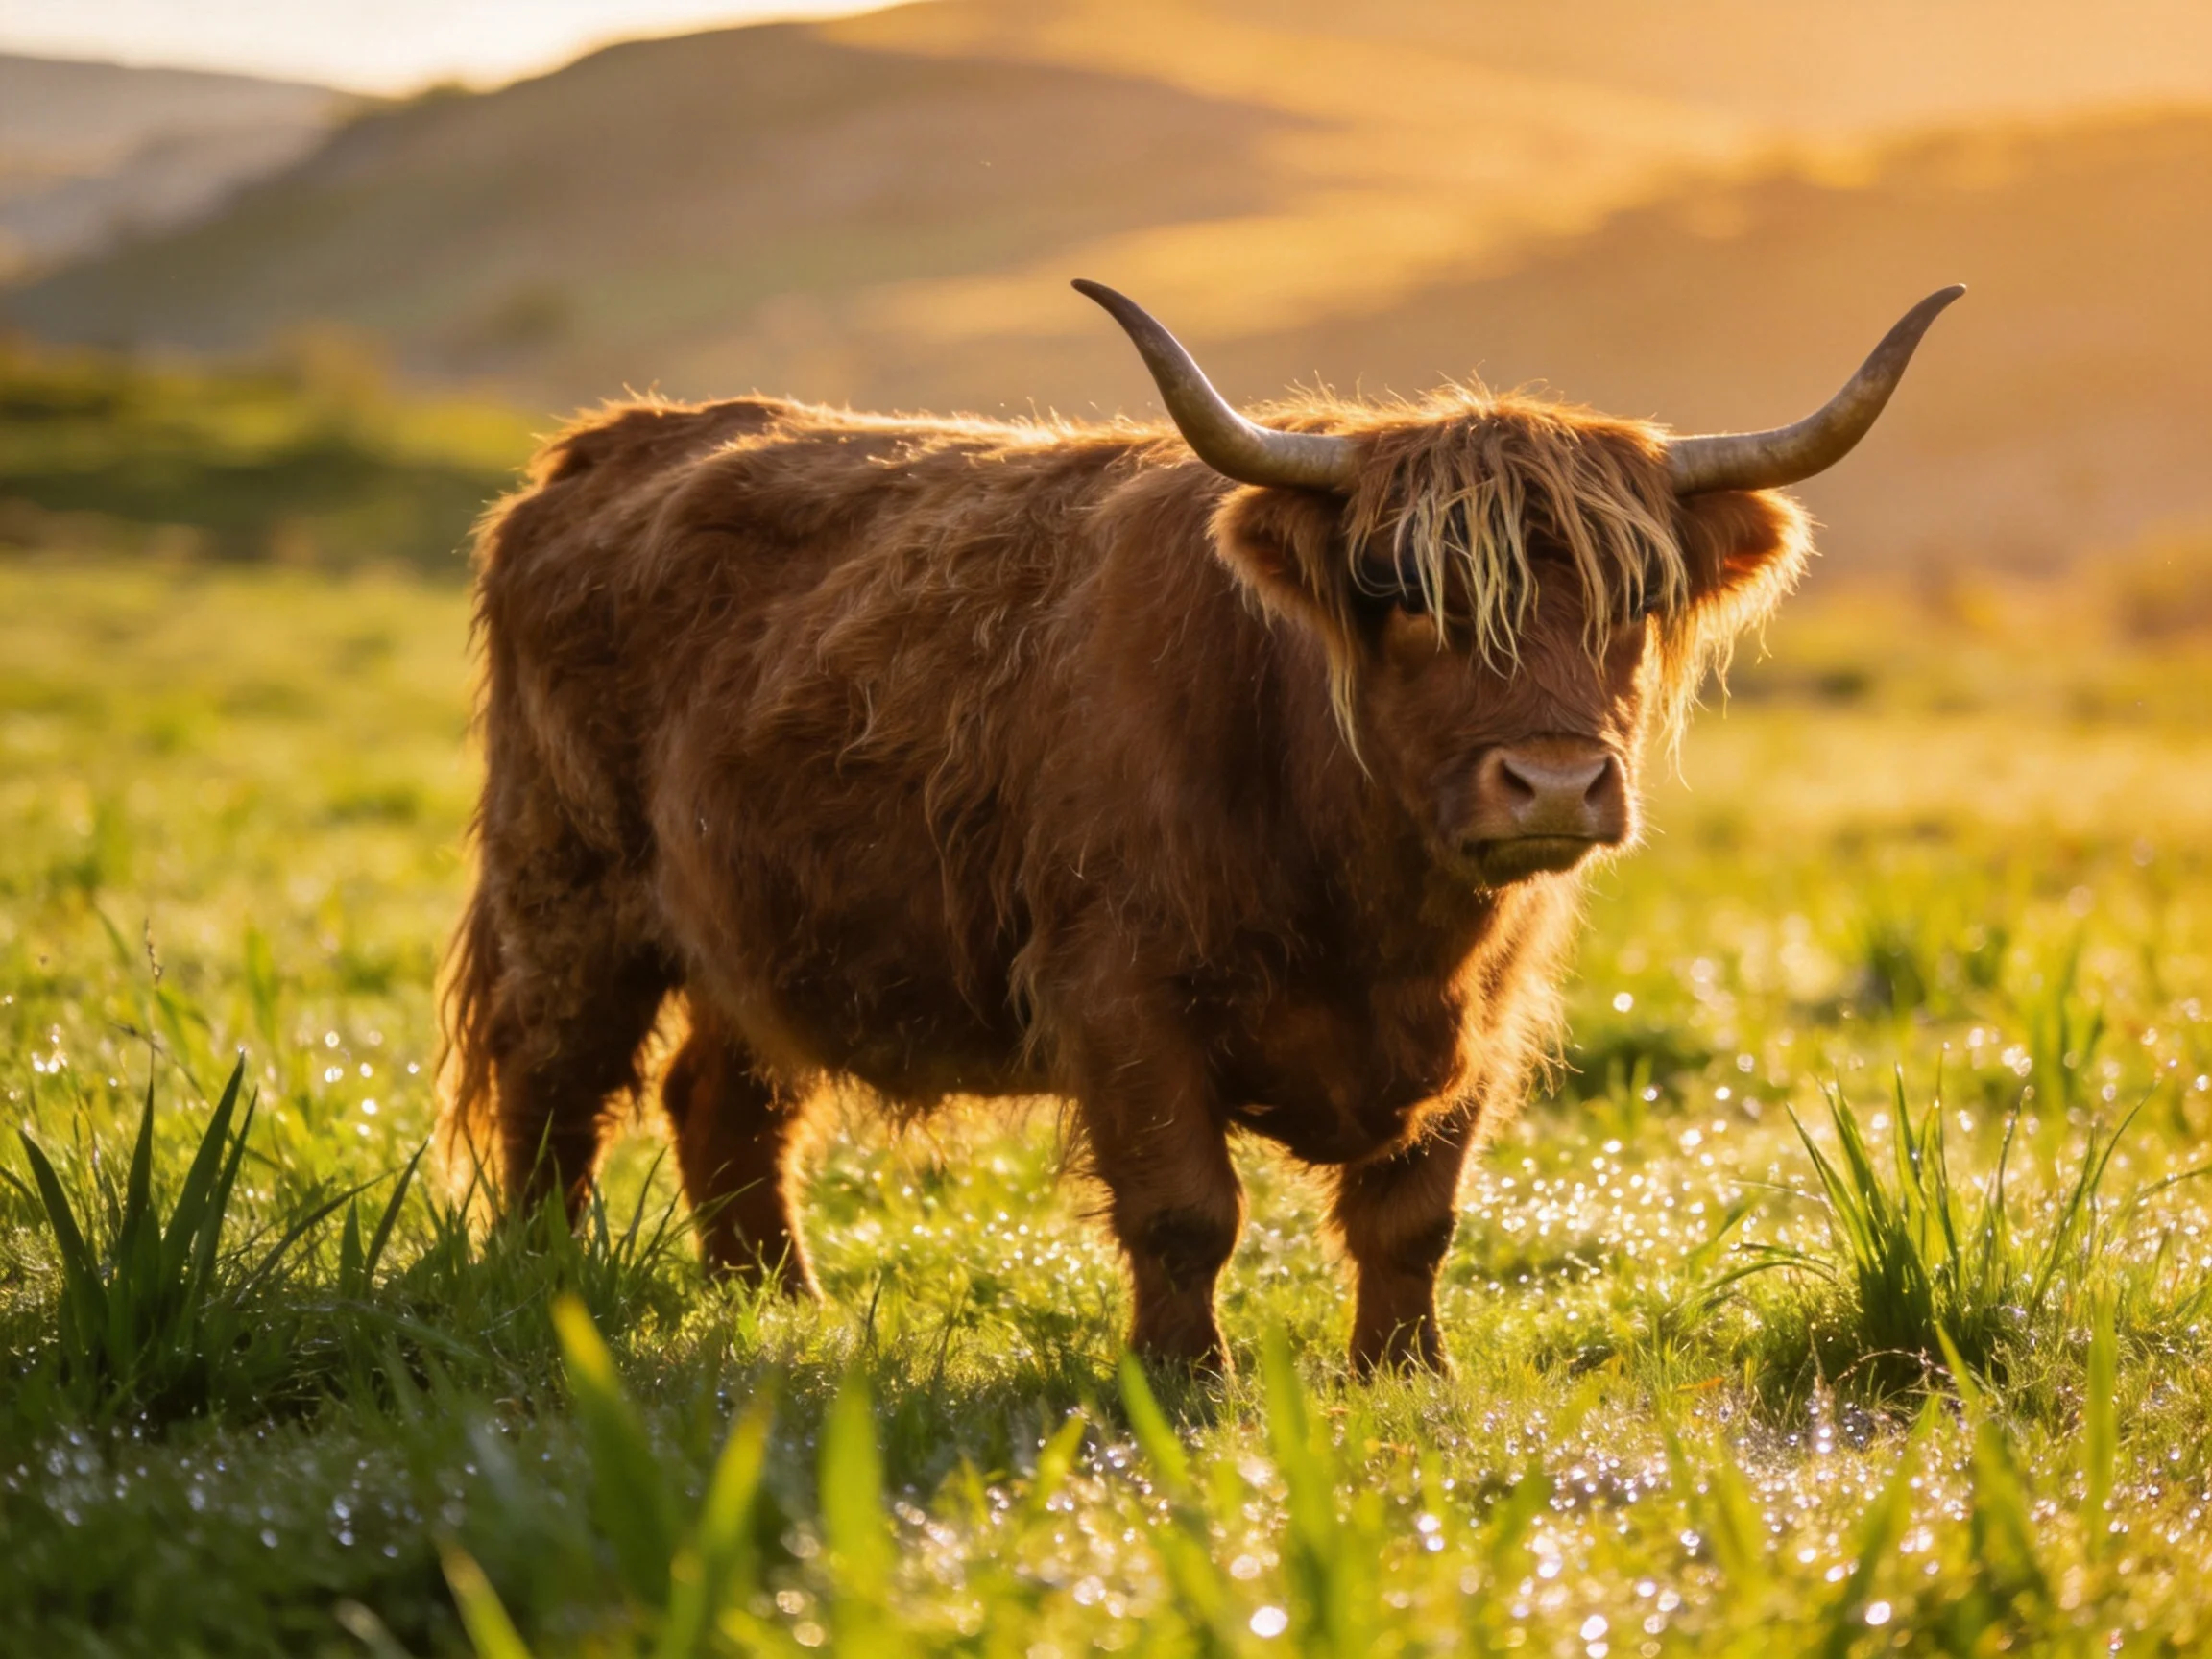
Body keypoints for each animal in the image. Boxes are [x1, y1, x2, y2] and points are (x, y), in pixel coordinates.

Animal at [441, 279, 1961, 1372]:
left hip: (762, 927)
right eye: (1397, 590)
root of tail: (615, 440)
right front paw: (1188, 1382)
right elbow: (1187, 1210)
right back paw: (547, 1286)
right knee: (553, 1084)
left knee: (725, 1100)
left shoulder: (1488, 1011)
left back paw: (779, 1307)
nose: (1551, 783)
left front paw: (1404, 1375)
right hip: (567, 886)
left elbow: (1416, 1216)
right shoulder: (1118, 989)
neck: (1372, 909)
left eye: (1635, 598)